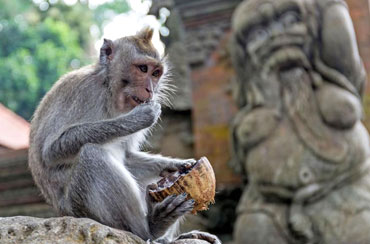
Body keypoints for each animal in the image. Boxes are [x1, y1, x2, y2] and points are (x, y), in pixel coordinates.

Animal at [29, 27, 220, 244]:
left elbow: (128, 156)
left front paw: (177, 165)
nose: (150, 90)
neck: (109, 90)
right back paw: (152, 227)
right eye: (143, 69)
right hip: (80, 209)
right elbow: (51, 151)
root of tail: (61, 213)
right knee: (92, 156)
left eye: (156, 73)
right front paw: (139, 118)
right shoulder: (82, 91)